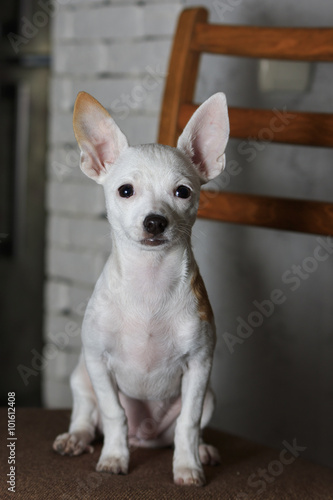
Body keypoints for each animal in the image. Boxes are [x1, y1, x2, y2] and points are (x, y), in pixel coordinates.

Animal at [53, 90, 228, 484]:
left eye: (183, 192)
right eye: (125, 191)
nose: (155, 221)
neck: (149, 282)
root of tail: (143, 436)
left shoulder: (200, 366)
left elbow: (189, 423)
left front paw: (187, 467)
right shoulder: (98, 362)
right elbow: (114, 413)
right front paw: (115, 458)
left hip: (209, 396)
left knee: (186, 428)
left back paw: (202, 451)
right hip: (81, 377)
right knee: (88, 415)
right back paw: (77, 438)